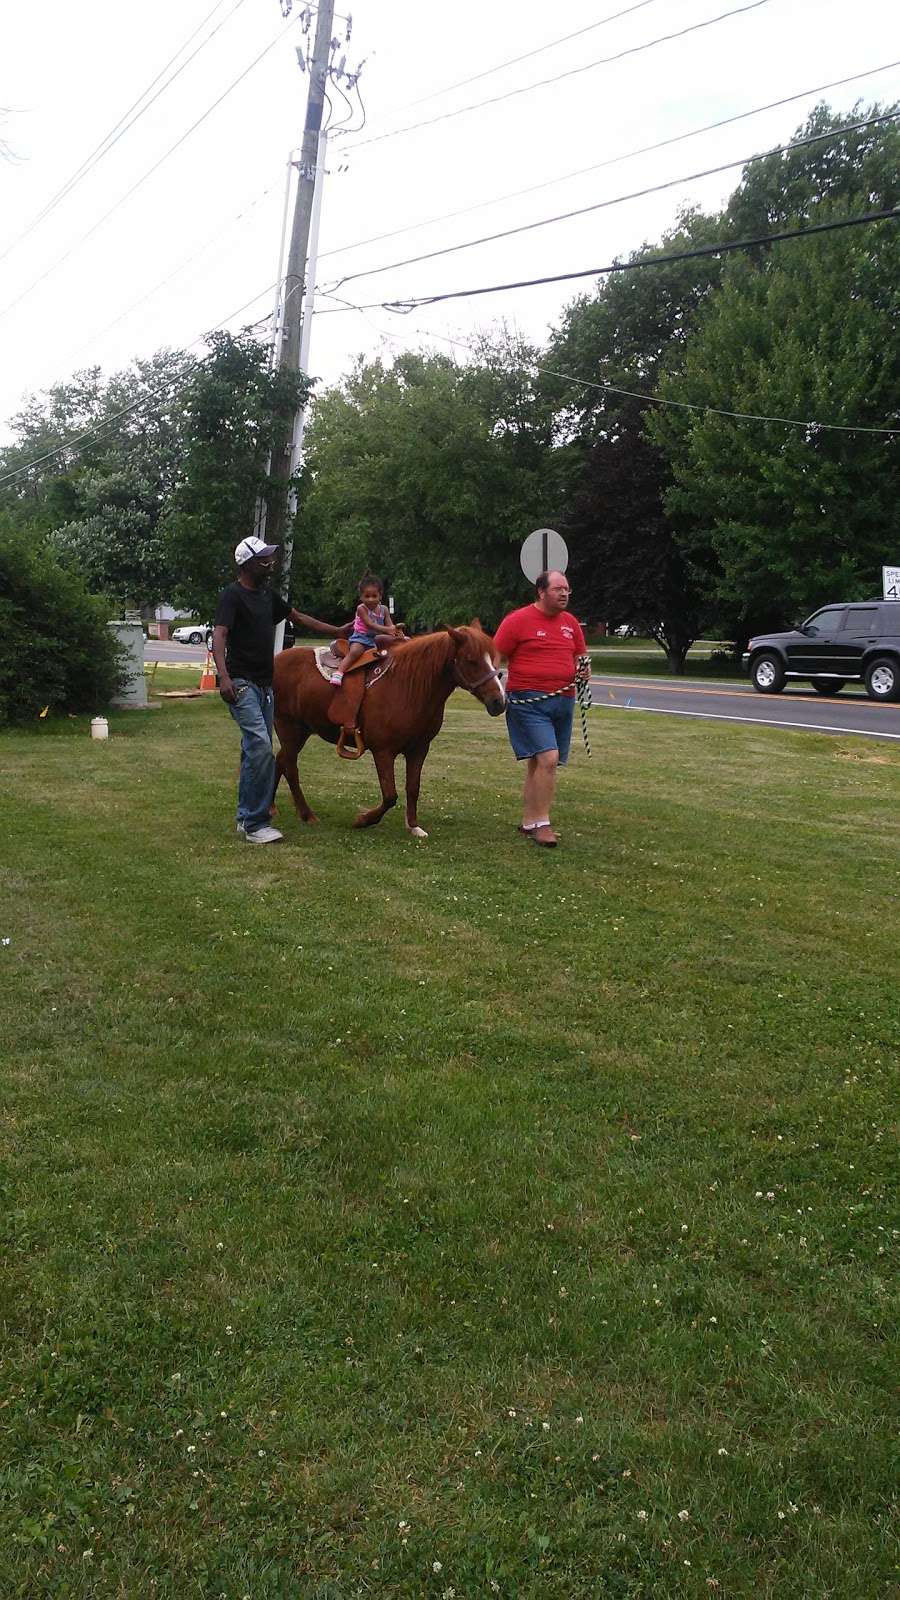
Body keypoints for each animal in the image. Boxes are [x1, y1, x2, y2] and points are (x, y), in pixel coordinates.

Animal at [269, 620, 506, 838]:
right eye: (471, 660)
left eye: (493, 658)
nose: (499, 702)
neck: (408, 687)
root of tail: (276, 660)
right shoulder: (383, 751)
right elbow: (390, 795)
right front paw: (363, 820)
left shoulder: (419, 749)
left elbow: (413, 788)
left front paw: (413, 826)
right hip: (288, 727)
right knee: (290, 767)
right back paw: (306, 814)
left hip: (302, 731)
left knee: (279, 761)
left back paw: (271, 807)